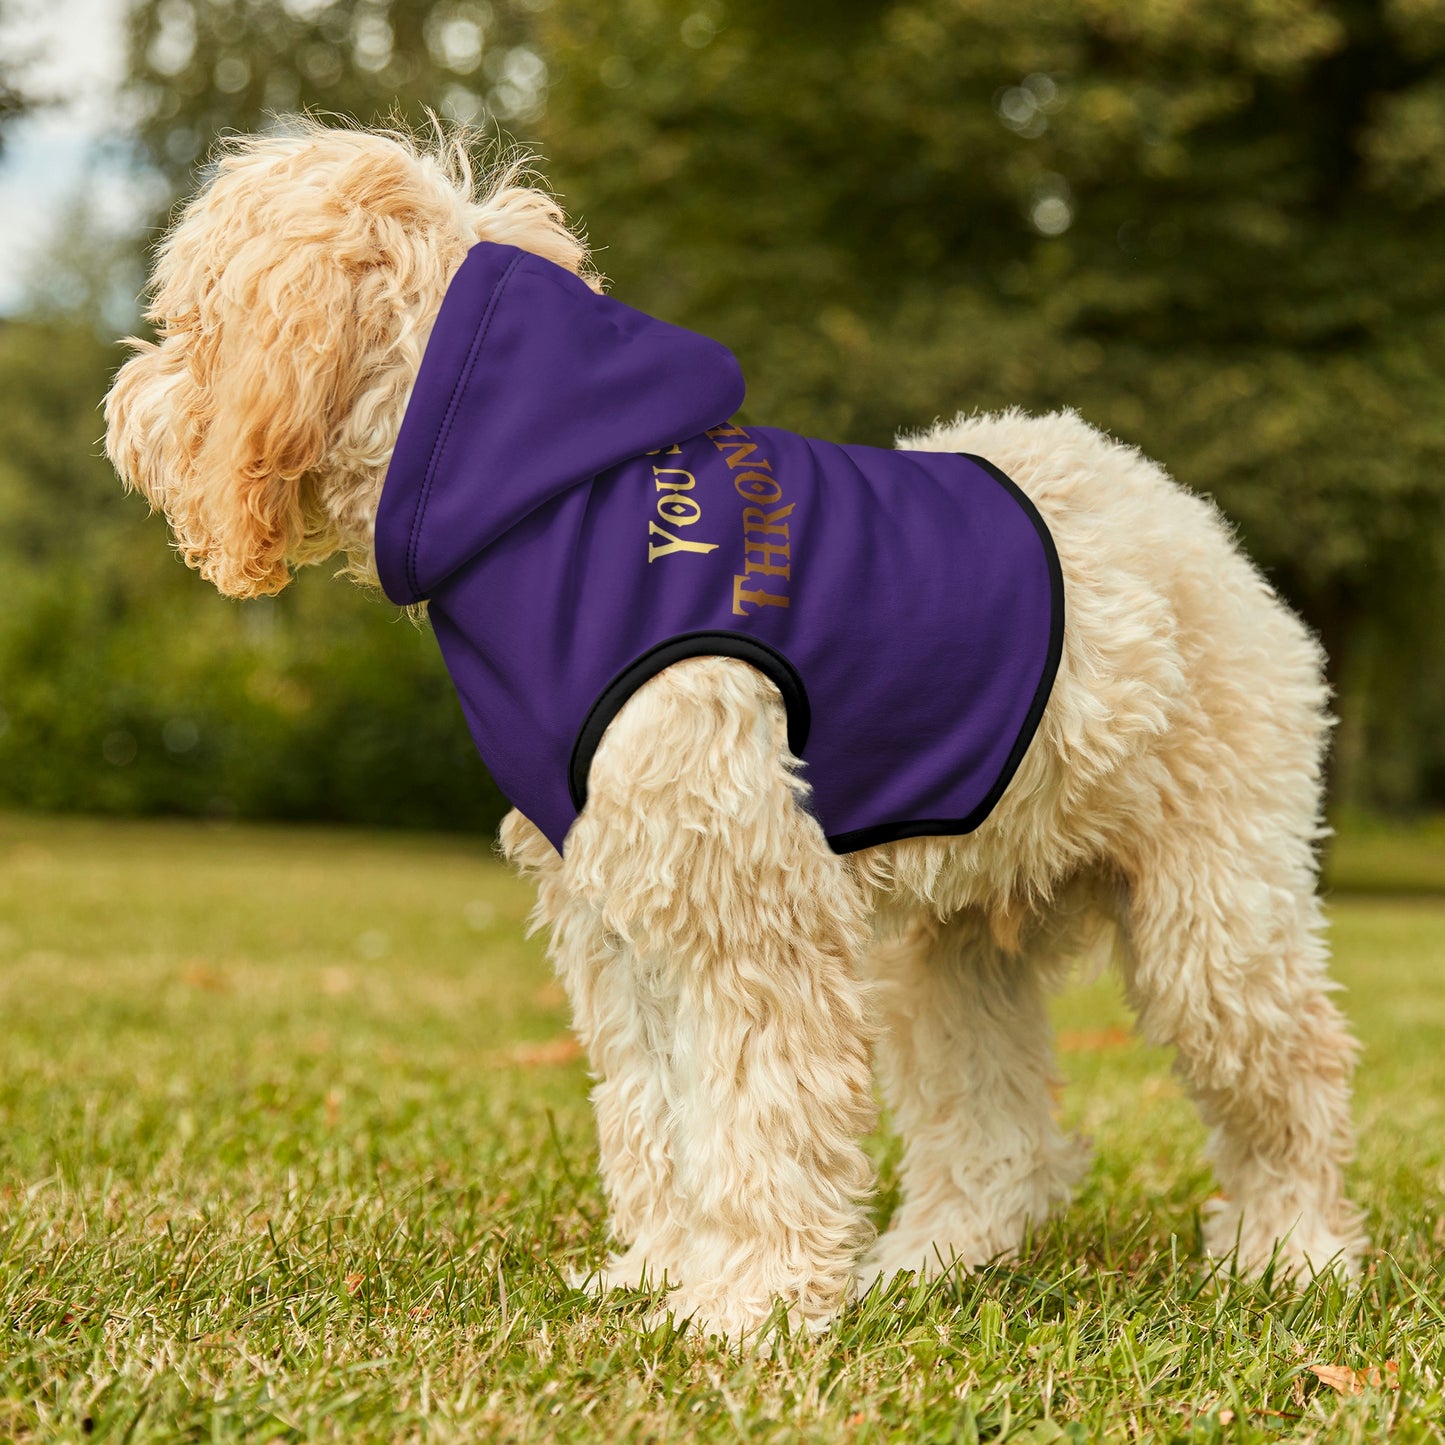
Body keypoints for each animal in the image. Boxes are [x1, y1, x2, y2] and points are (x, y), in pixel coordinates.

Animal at [106, 124, 1358, 1340]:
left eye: (189, 321)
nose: (122, 408)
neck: (550, 501)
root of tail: (1185, 517)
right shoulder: (618, 912)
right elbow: (656, 1111)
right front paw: (661, 1272)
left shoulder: (744, 907)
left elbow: (757, 1115)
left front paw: (745, 1304)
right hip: (950, 948)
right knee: (997, 1134)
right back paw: (931, 1260)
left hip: (1213, 917)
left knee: (1293, 1075)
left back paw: (1290, 1252)